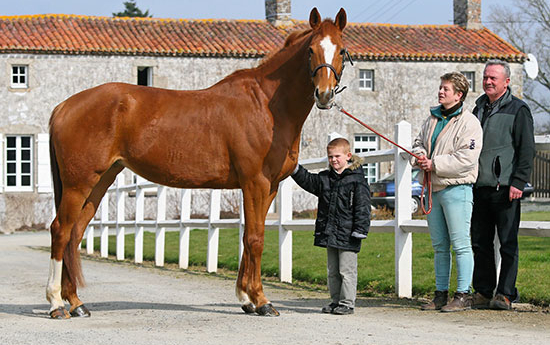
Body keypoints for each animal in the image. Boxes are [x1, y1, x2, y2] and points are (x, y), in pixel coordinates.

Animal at [46, 8, 350, 318]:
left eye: (341, 50)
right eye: (311, 50)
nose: (324, 94)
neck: (266, 105)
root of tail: (64, 107)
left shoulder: (270, 187)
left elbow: (248, 238)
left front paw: (246, 299)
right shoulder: (255, 182)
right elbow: (255, 239)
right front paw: (262, 301)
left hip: (100, 180)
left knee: (74, 234)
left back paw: (77, 303)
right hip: (79, 184)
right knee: (60, 231)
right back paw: (57, 303)